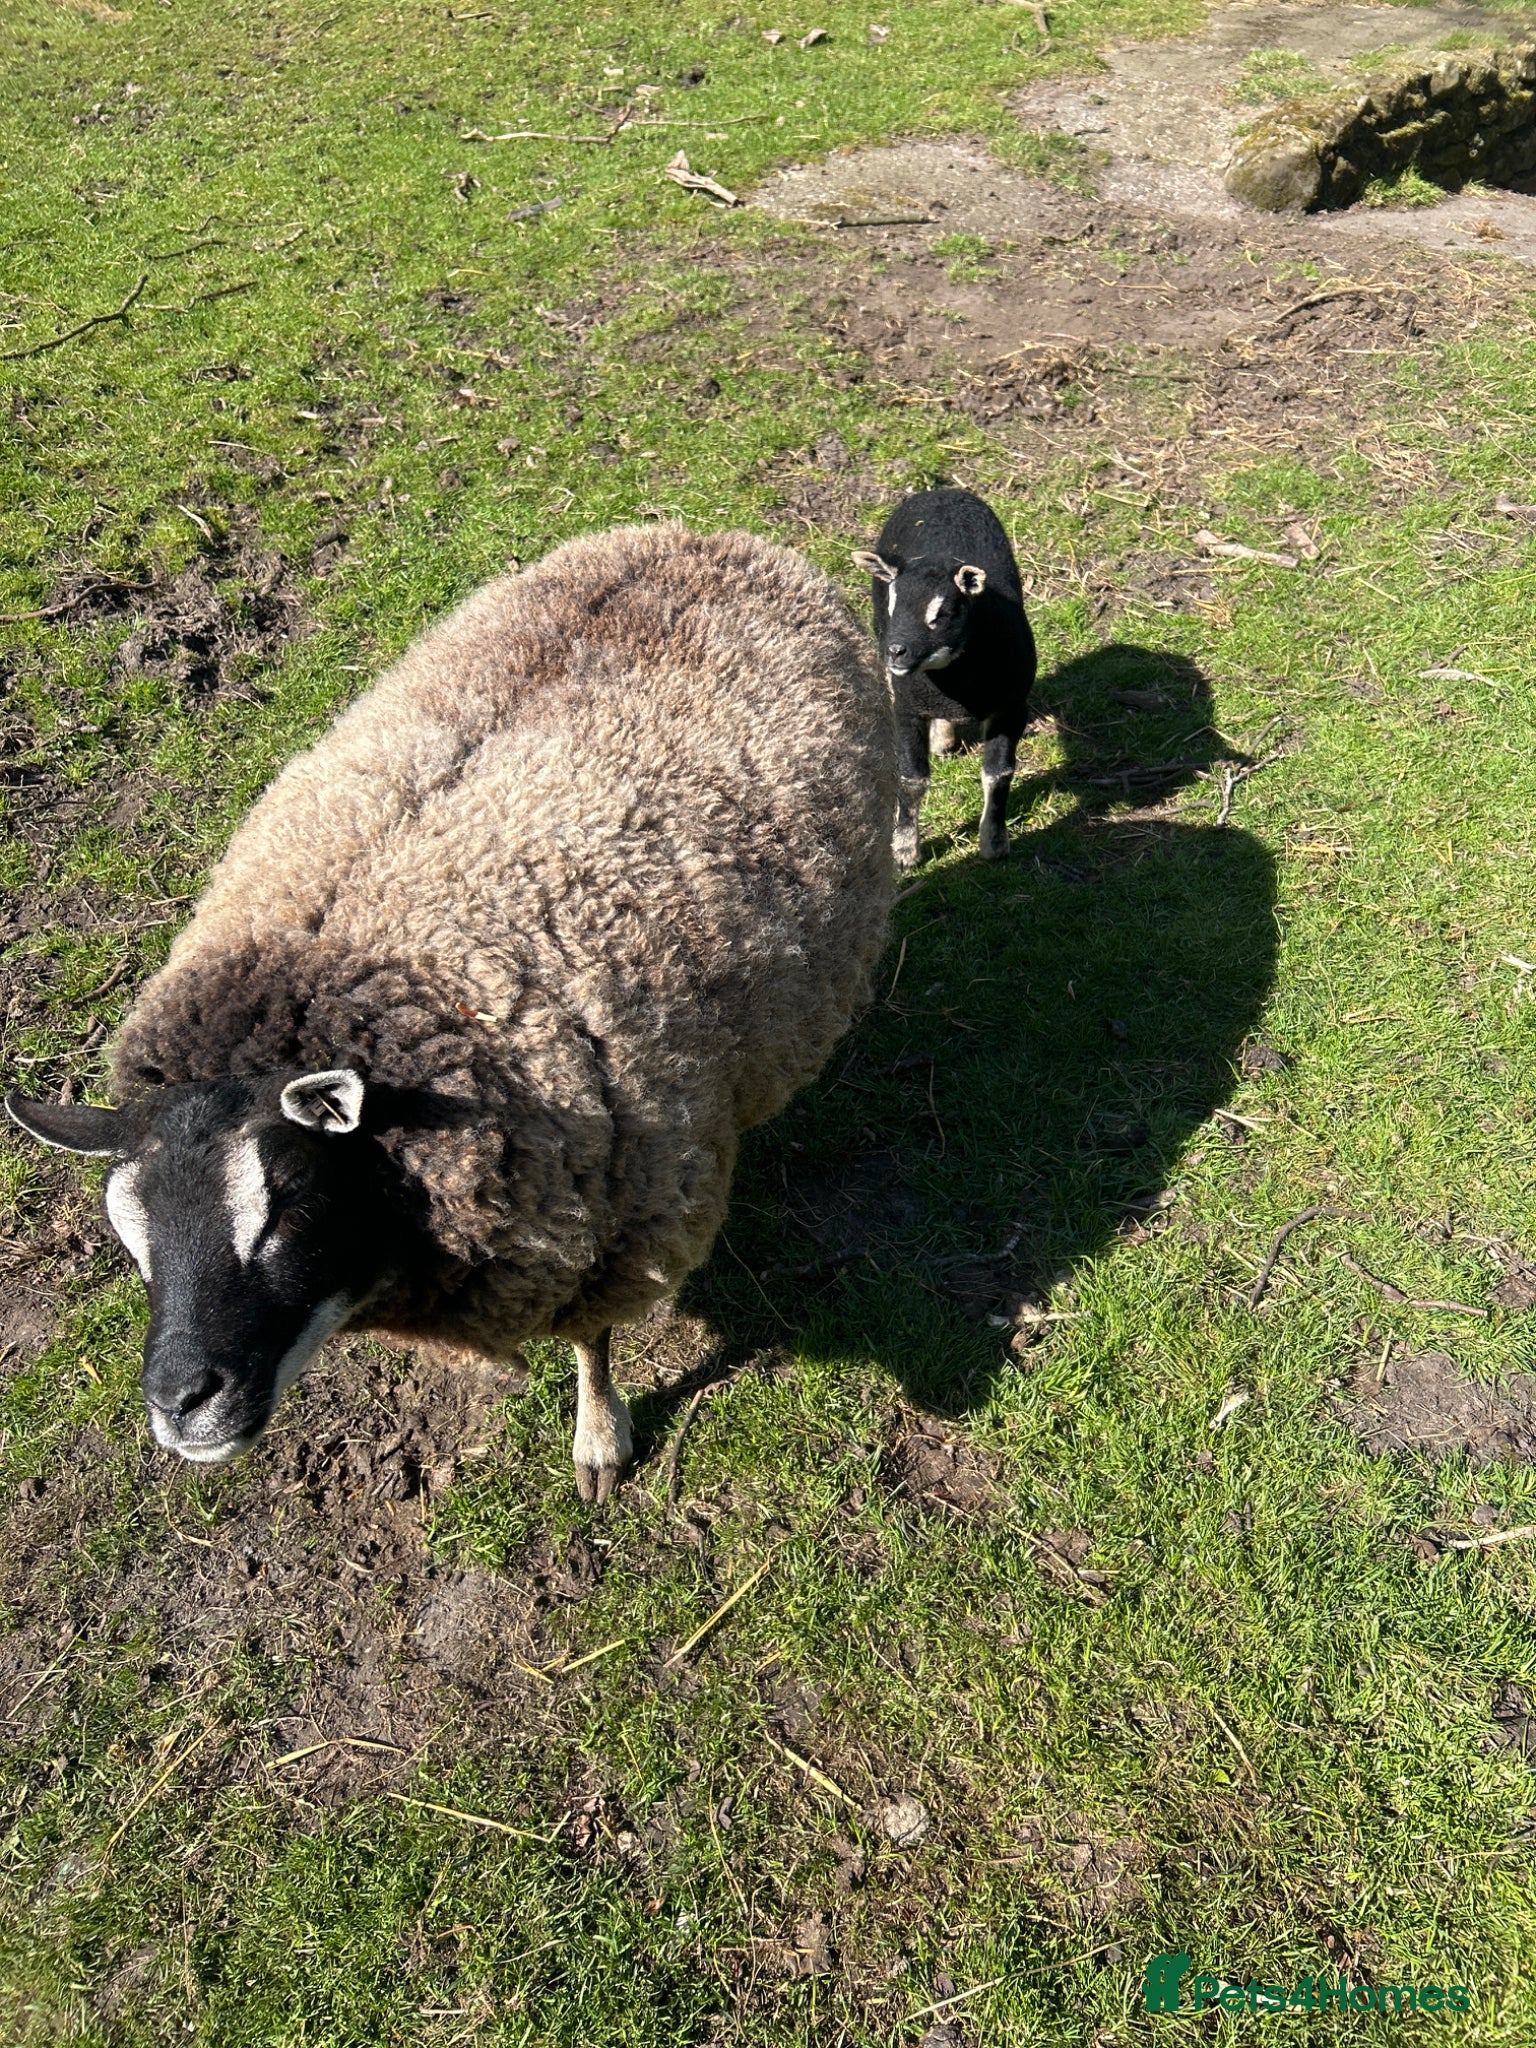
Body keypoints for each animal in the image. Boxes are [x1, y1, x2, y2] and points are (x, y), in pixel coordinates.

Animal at [5, 523, 896, 1502]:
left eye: (288, 1210)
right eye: (130, 1238)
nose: (180, 1403)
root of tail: (703, 535)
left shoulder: (613, 1218)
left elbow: (592, 1342)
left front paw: (599, 1440)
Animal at [853, 486, 1036, 868]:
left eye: (943, 613)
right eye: (892, 603)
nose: (896, 650)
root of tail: (942, 491)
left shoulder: (1011, 707)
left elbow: (998, 775)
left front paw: (994, 842)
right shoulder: (907, 707)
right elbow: (911, 779)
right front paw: (905, 849)